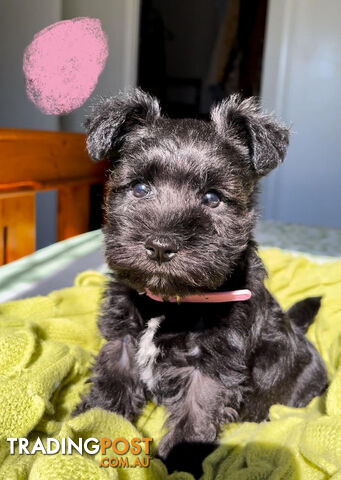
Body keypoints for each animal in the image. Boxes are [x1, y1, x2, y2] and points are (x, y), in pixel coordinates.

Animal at [75, 88, 326, 474]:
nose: (161, 245)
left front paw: (178, 464)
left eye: (213, 198)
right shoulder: (122, 344)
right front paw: (91, 427)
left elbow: (194, 419)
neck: (168, 303)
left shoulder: (209, 371)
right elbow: (110, 389)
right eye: (140, 187)